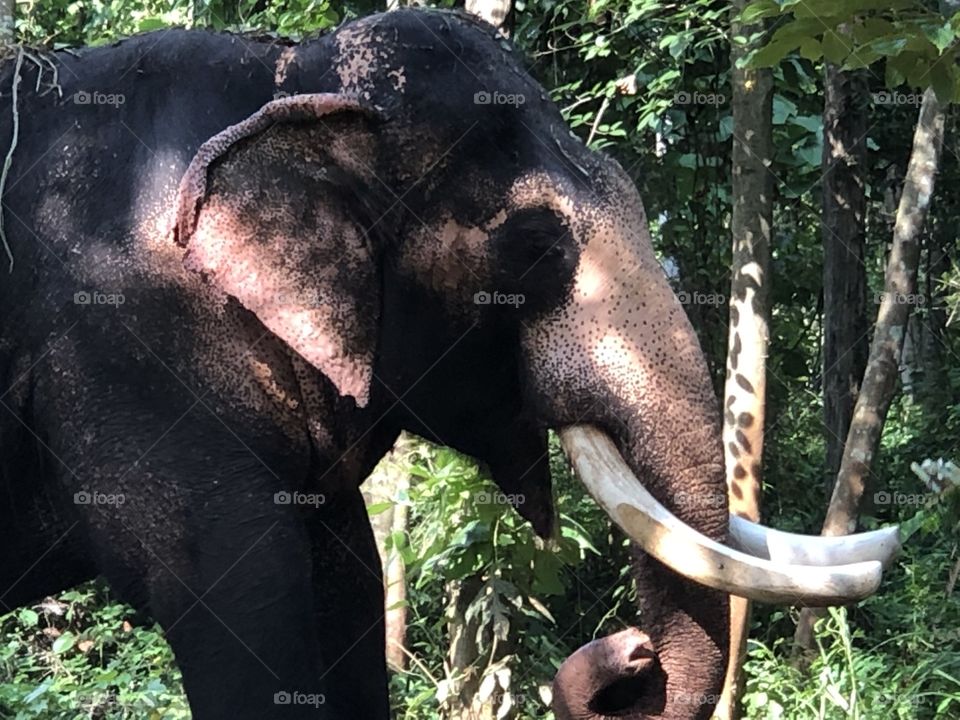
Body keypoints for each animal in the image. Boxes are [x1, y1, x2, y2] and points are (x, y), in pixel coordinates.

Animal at [0, 8, 898, 720]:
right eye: (537, 246)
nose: (633, 651)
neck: (288, 75)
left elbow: (351, 587)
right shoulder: (136, 350)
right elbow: (242, 608)